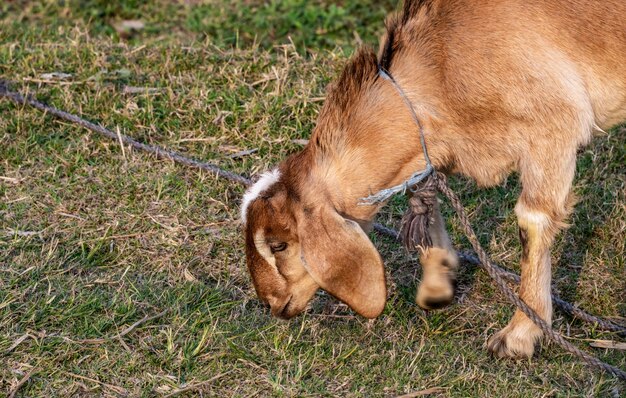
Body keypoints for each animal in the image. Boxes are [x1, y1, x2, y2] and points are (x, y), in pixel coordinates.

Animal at [239, 0, 624, 360]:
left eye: (278, 245)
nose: (271, 303)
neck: (439, 70)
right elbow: (424, 196)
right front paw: (437, 287)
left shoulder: (553, 128)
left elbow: (532, 223)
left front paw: (519, 334)